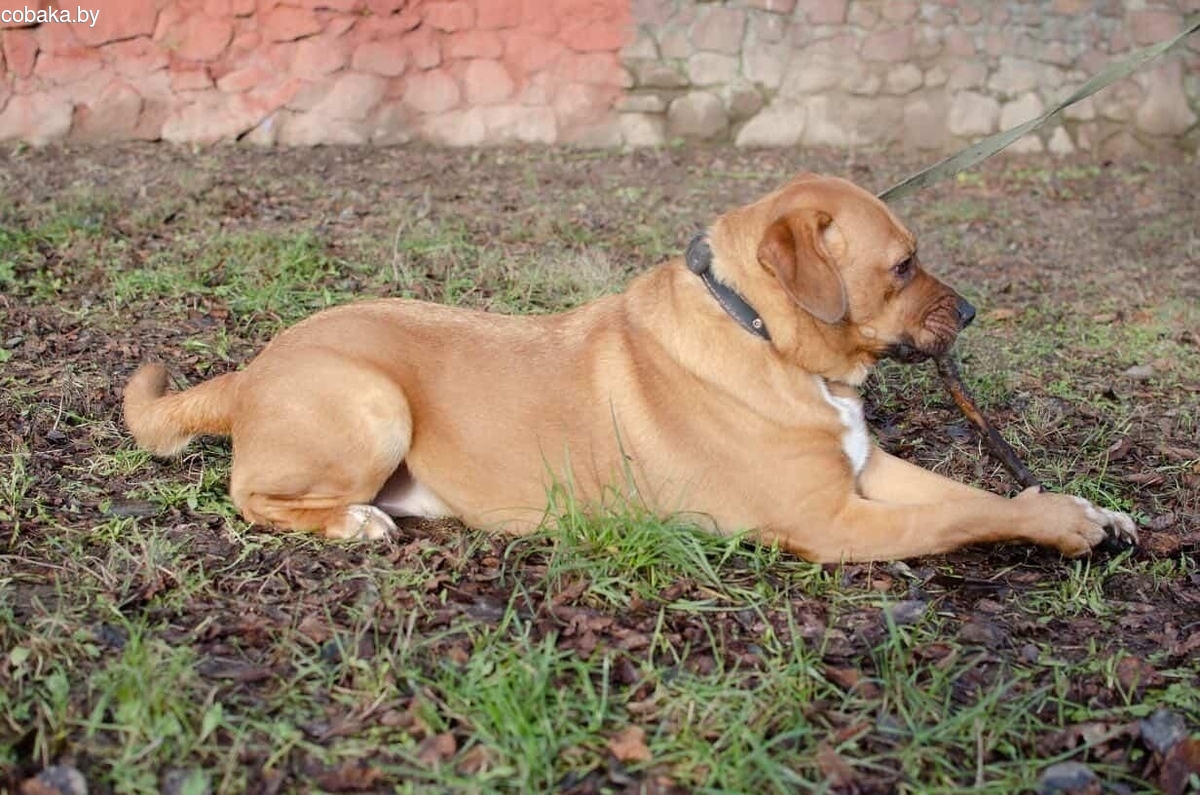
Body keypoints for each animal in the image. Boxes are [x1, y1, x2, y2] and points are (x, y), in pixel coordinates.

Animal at [123, 173, 1137, 562]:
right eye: (902, 266)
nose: (969, 314)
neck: (760, 335)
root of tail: (254, 368)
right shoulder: (835, 520)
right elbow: (970, 512)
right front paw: (1058, 523)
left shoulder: (867, 471)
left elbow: (972, 491)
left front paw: (1090, 506)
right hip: (372, 402)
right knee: (253, 497)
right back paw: (353, 521)